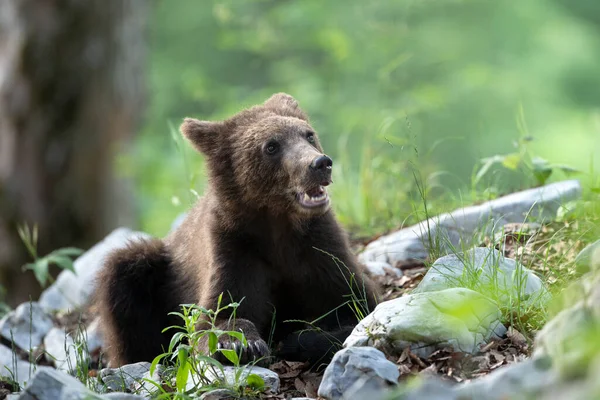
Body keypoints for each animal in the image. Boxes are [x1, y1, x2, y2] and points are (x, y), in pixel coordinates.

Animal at [97, 93, 380, 366]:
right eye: (271, 146)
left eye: (308, 134)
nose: (320, 163)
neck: (278, 224)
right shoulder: (233, 248)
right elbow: (216, 317)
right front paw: (243, 344)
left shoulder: (319, 248)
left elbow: (357, 307)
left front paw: (298, 340)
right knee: (124, 273)